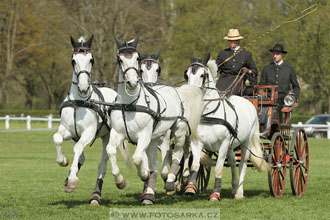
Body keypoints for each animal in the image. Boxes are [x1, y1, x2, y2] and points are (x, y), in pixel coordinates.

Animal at [52, 35, 117, 197]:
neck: (79, 102)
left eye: (91, 59)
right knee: (82, 156)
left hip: (107, 136)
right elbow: (57, 138)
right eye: (73, 60)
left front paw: (73, 180)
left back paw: (97, 193)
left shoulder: (89, 132)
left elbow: (79, 147)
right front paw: (63, 161)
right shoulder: (69, 130)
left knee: (103, 163)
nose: (83, 88)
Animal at [105, 37, 204, 205]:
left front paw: (144, 175)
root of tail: (178, 91)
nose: (132, 83)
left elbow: (138, 158)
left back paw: (172, 181)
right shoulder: (118, 133)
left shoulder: (144, 135)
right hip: (156, 138)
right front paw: (120, 181)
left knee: (178, 152)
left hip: (179, 129)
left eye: (137, 58)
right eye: (120, 59)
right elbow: (111, 150)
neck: (130, 104)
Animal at [184, 52, 270, 200]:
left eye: (202, 75)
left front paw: (215, 194)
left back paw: (239, 192)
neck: (211, 113)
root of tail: (249, 104)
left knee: (242, 165)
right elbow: (195, 164)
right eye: (187, 74)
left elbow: (219, 168)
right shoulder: (197, 142)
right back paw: (235, 187)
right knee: (233, 161)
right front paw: (190, 188)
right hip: (232, 144)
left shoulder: (223, 144)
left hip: (246, 143)